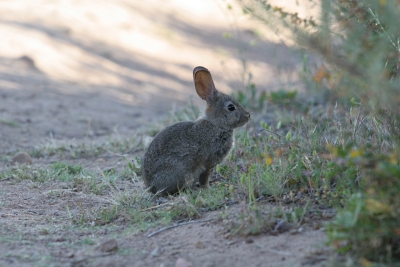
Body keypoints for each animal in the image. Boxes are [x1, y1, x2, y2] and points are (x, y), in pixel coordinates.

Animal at [141, 66, 250, 197]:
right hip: (180, 170)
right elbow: (204, 177)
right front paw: (208, 188)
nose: (248, 115)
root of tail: (151, 185)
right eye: (231, 107)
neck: (216, 125)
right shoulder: (208, 163)